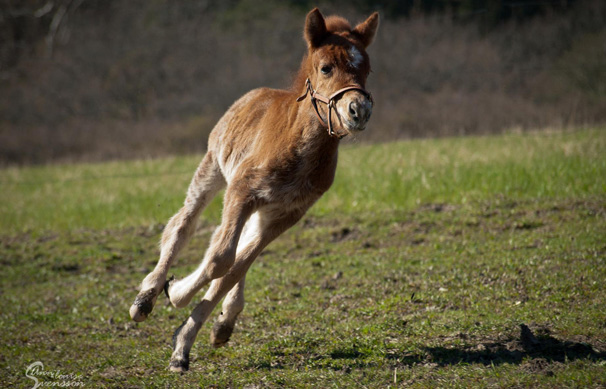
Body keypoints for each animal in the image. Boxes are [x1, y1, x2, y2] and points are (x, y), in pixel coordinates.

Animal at [131, 8, 380, 370]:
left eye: (366, 69)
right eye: (326, 68)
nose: (359, 110)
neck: (299, 146)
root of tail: (252, 94)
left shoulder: (287, 213)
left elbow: (235, 266)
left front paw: (184, 340)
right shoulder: (241, 191)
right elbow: (220, 260)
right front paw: (175, 296)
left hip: (261, 207)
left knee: (232, 244)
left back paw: (223, 319)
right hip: (213, 168)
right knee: (183, 225)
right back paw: (146, 297)